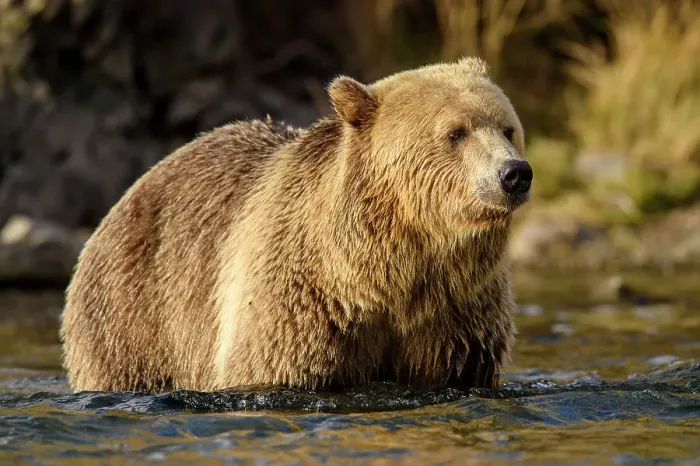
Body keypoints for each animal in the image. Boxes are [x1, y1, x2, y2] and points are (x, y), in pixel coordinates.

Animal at [60, 56, 533, 393]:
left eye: (507, 128)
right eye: (456, 132)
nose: (514, 173)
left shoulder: (455, 316)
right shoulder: (299, 303)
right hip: (133, 311)